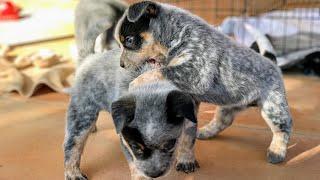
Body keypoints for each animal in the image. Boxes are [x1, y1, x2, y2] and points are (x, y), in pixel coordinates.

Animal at [63, 48, 200, 180]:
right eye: (135, 147)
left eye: (170, 144)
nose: (154, 174)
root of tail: (89, 58)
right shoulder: (125, 140)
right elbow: (134, 162)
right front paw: (141, 177)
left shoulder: (191, 115)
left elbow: (188, 139)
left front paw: (186, 160)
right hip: (82, 115)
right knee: (72, 144)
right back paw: (73, 173)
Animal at [114, 0, 292, 165]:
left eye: (129, 40)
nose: (121, 65)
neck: (178, 33)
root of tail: (272, 63)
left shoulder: (196, 70)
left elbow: (159, 72)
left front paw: (135, 83)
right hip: (229, 105)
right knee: (223, 121)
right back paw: (206, 132)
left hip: (273, 106)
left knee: (284, 127)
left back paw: (276, 152)